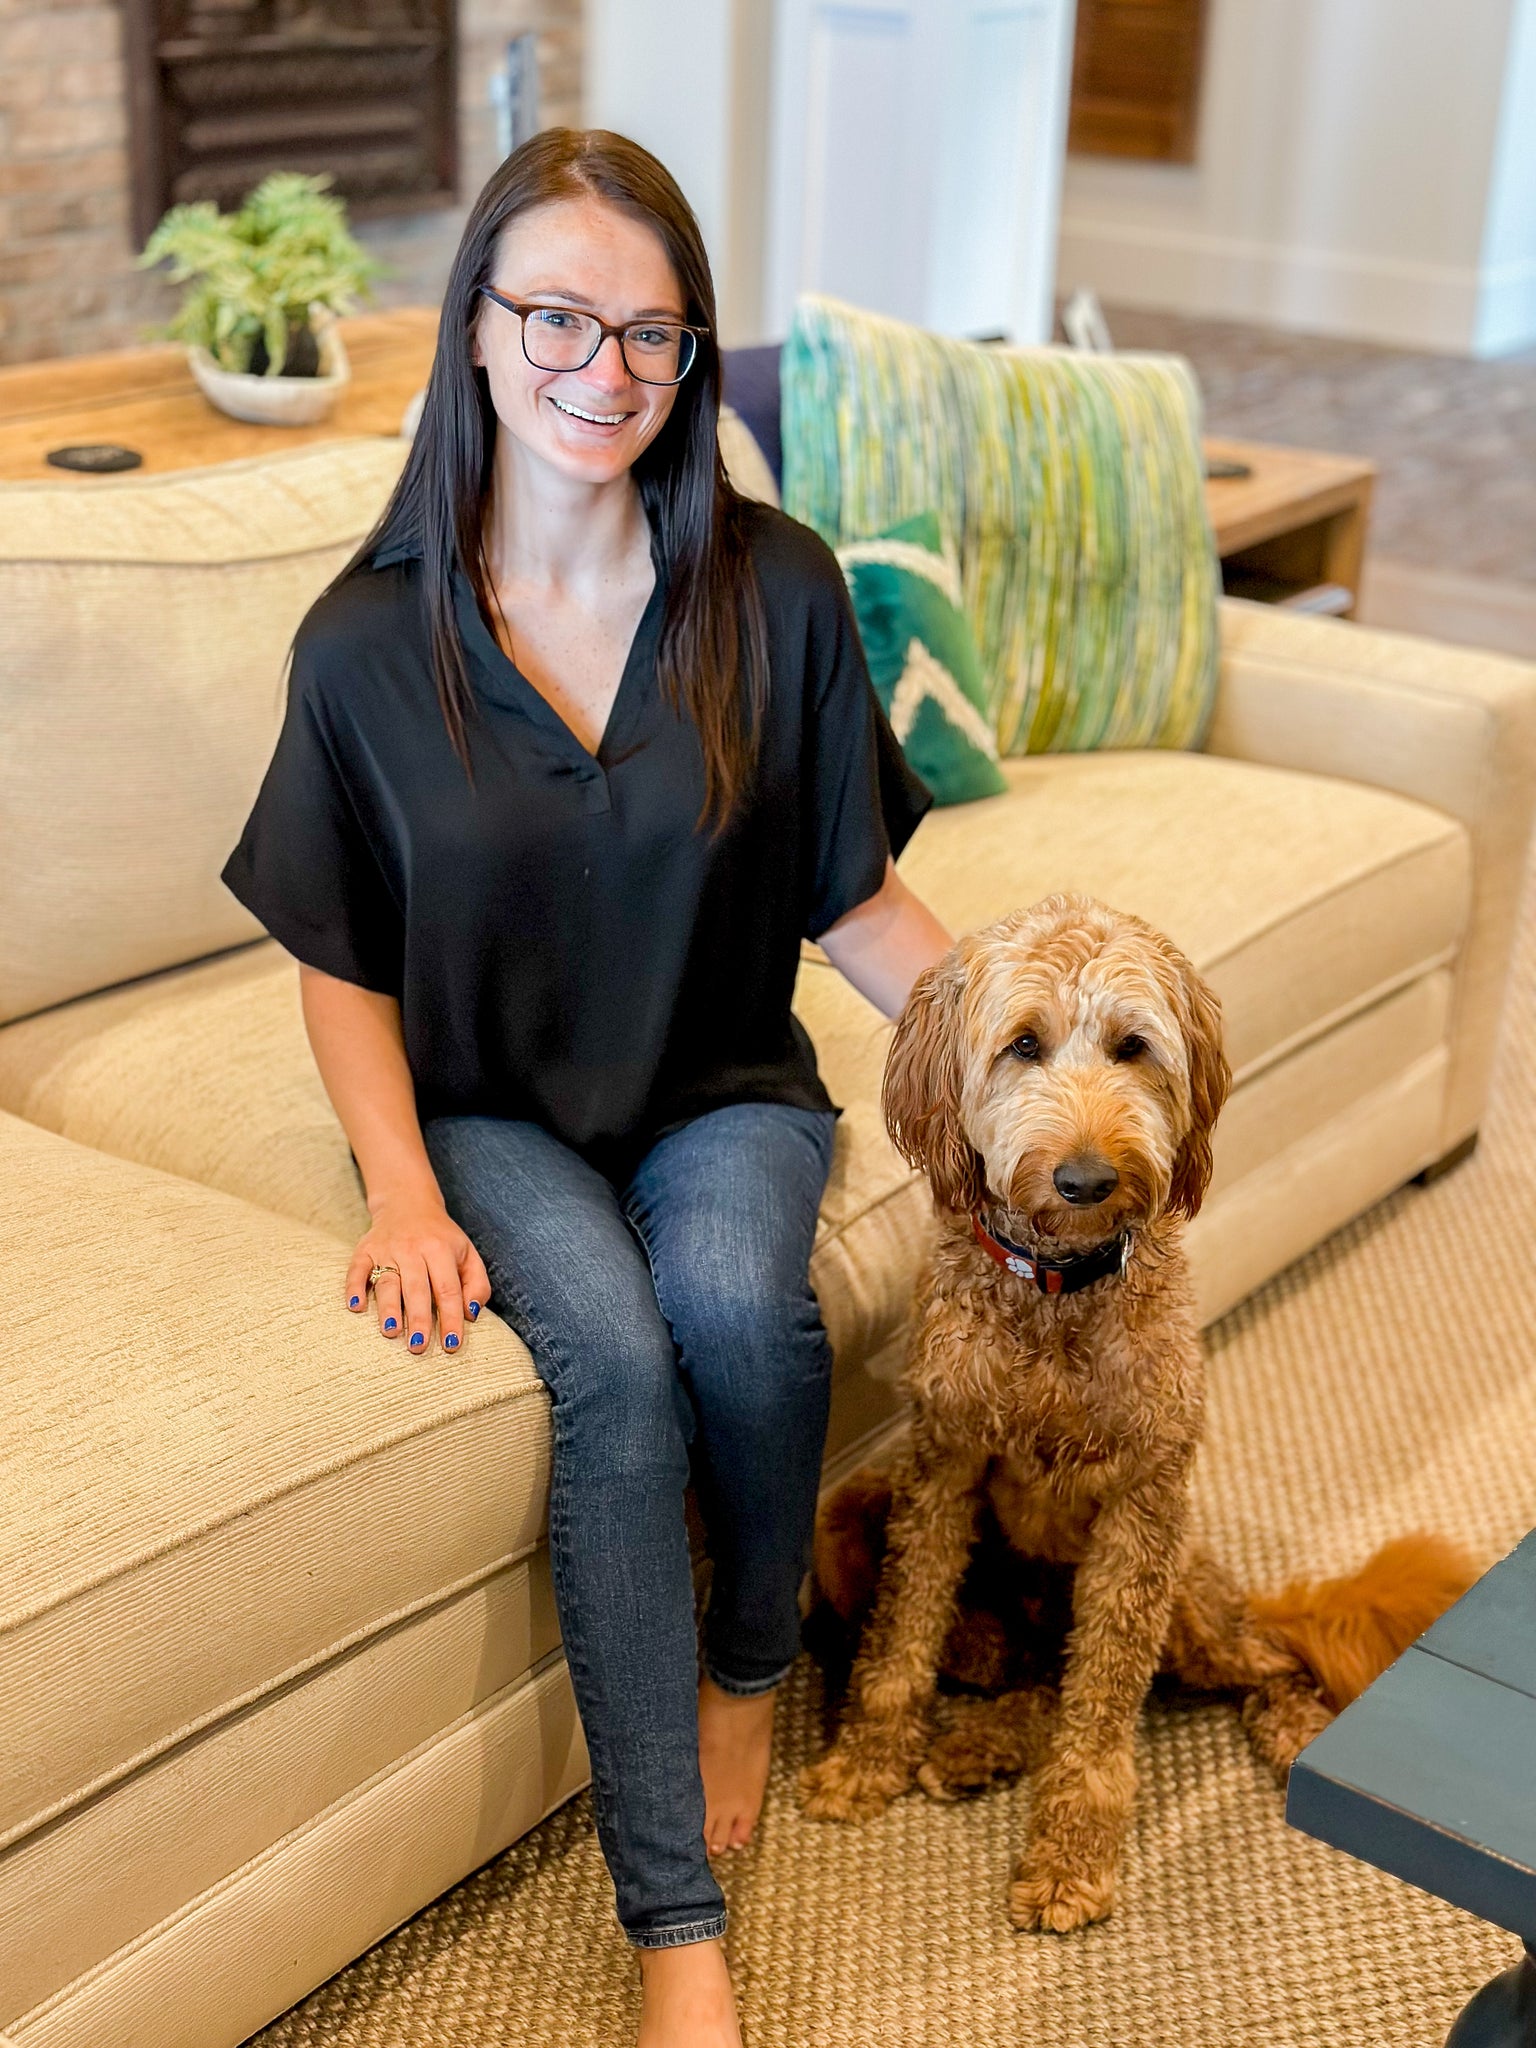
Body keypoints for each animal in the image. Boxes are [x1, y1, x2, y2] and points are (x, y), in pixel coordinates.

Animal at [798, 888, 1474, 1925]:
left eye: (1132, 1047)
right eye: (1023, 1045)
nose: (1086, 1178)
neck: (1057, 1295)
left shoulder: (1141, 1507)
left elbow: (1106, 1701)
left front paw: (1071, 1855)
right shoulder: (941, 1464)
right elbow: (901, 1635)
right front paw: (868, 1762)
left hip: (1185, 1598)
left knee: (1262, 1660)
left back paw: (1293, 1736)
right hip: (867, 1526)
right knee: (1035, 1676)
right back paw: (975, 1744)